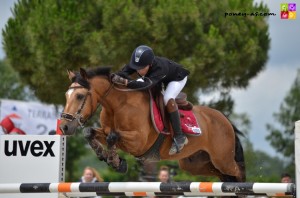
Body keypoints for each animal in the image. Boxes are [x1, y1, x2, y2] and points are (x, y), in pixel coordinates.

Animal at [59, 67, 245, 182]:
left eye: (80, 96)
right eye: (66, 95)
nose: (64, 127)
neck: (117, 105)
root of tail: (225, 119)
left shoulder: (138, 142)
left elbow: (113, 136)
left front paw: (115, 161)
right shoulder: (105, 131)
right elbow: (90, 132)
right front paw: (107, 156)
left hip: (222, 159)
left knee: (237, 172)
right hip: (196, 164)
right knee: (222, 175)